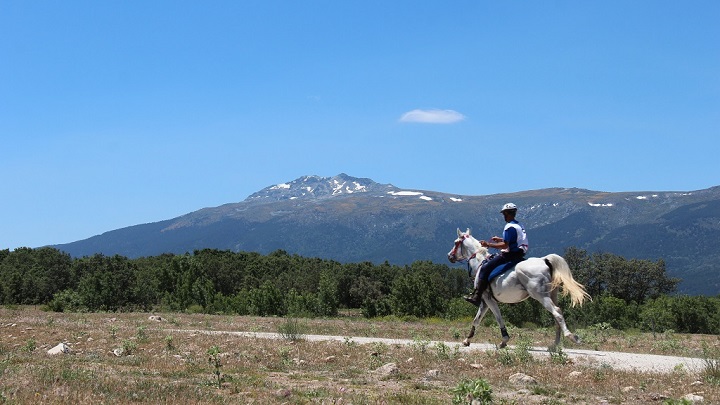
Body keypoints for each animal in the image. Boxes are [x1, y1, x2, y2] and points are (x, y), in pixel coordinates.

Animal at [444, 227, 592, 348]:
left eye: (456, 242)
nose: (449, 256)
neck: (480, 263)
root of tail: (544, 260)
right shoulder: (485, 302)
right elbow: (476, 320)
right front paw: (467, 340)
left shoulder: (488, 299)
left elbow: (498, 318)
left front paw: (504, 340)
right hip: (552, 295)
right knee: (556, 315)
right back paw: (555, 344)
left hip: (541, 296)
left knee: (557, 312)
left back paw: (571, 337)